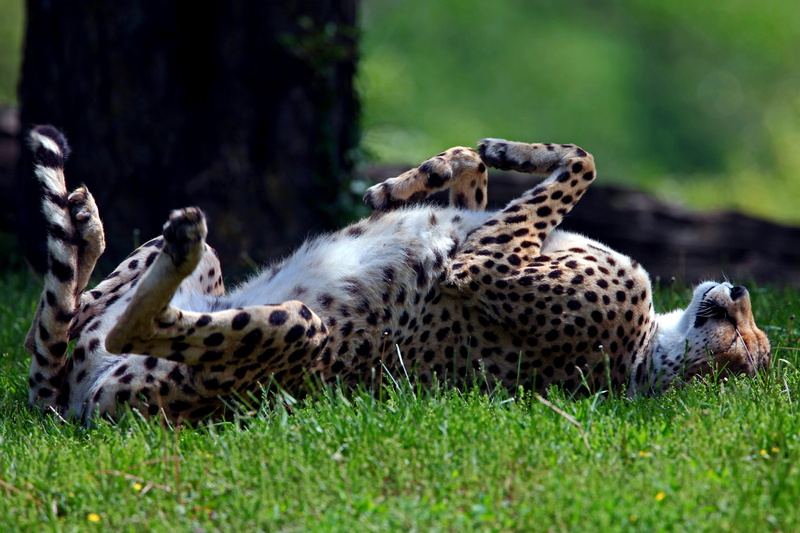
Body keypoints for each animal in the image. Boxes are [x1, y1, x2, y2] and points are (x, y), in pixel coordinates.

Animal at [24, 125, 771, 424]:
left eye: (748, 351)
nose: (738, 290)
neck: (645, 349)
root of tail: (73, 405)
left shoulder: (482, 264)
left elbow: (582, 163)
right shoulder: (481, 233)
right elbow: (483, 175)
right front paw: (419, 177)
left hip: (298, 333)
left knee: (121, 326)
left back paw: (171, 240)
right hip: (193, 288)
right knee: (62, 319)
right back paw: (87, 222)